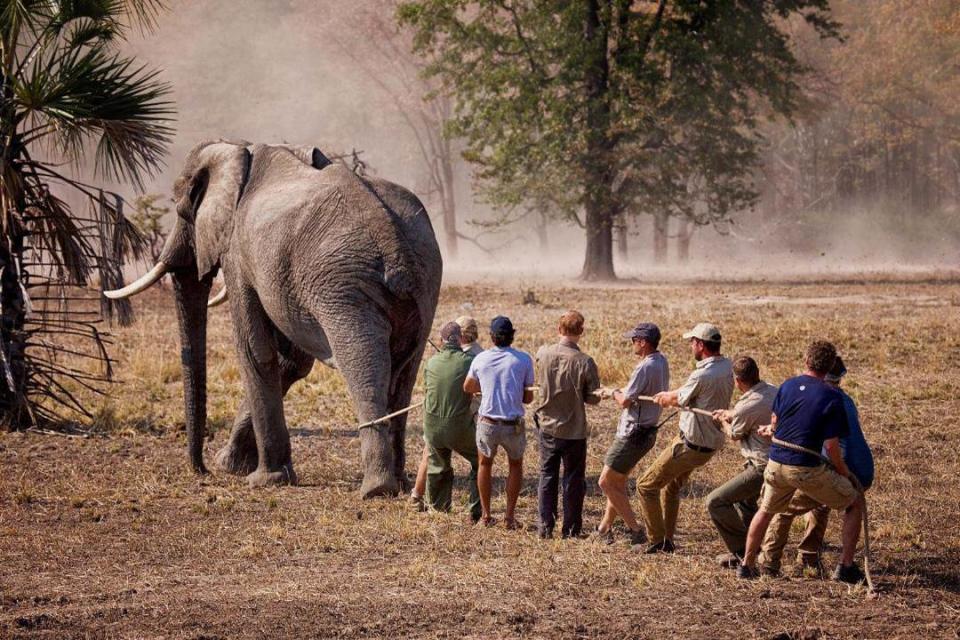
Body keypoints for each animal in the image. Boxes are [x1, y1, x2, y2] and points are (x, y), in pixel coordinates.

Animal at [107, 142, 444, 498]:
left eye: (180, 207)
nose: (201, 470)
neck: (239, 151)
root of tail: (393, 241)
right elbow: (290, 361)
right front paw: (231, 465)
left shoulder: (237, 253)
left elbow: (254, 350)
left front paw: (263, 479)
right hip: (424, 282)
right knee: (404, 371)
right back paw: (400, 482)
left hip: (345, 289)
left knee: (364, 364)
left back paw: (375, 489)